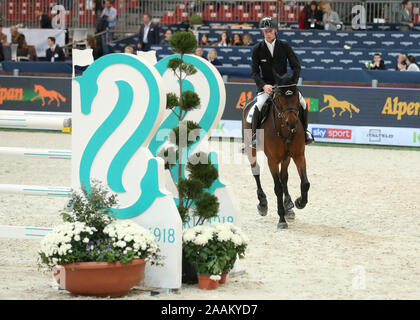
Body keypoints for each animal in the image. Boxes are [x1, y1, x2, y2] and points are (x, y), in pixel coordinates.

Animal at [243, 74, 308, 230]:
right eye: (278, 97)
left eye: (296, 95)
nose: (292, 123)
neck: (284, 130)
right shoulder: (272, 160)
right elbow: (277, 188)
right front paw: (282, 220)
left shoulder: (298, 156)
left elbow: (304, 183)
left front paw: (299, 202)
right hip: (251, 150)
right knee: (256, 171)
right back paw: (262, 203)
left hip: (286, 158)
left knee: (284, 177)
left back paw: (289, 205)